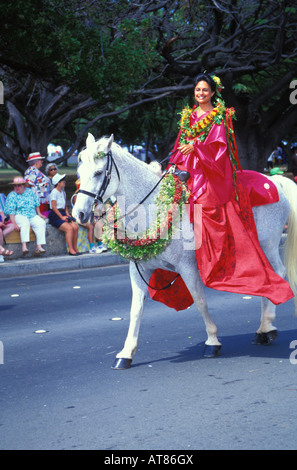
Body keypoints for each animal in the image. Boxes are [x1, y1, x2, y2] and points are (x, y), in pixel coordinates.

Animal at [73, 134, 296, 370]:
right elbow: (135, 310)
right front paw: (126, 353)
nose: (79, 214)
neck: (152, 210)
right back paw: (264, 328)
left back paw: (266, 328)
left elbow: (199, 301)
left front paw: (212, 341)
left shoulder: (188, 267)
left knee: (277, 273)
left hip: (268, 243)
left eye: (98, 173)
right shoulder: (138, 269)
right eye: (79, 173)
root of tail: (276, 180)